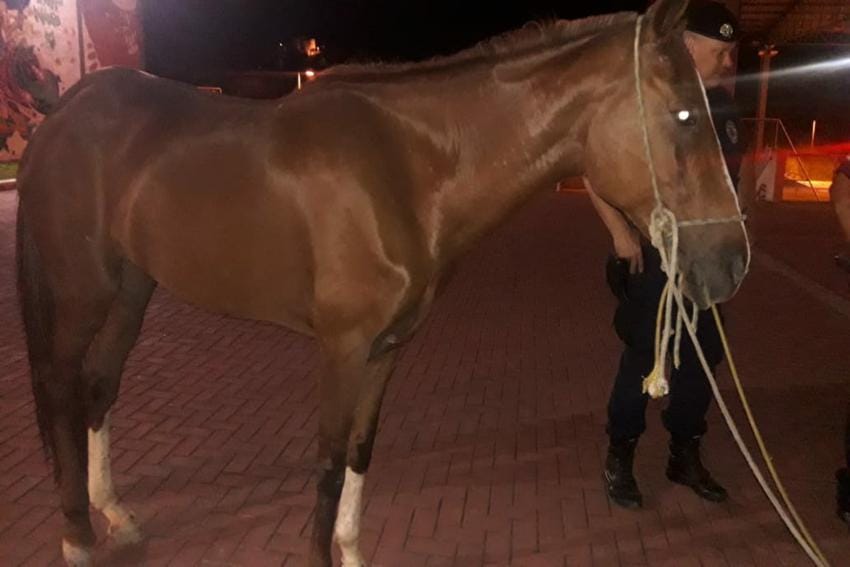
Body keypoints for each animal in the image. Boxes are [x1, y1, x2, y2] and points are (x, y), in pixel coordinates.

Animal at [14, 0, 749, 564]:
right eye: (685, 115)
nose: (733, 260)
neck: (407, 168)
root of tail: (67, 108)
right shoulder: (341, 349)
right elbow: (327, 464)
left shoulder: (387, 349)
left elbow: (360, 455)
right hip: (80, 293)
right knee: (61, 389)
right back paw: (76, 535)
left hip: (133, 289)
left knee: (99, 387)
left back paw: (115, 514)